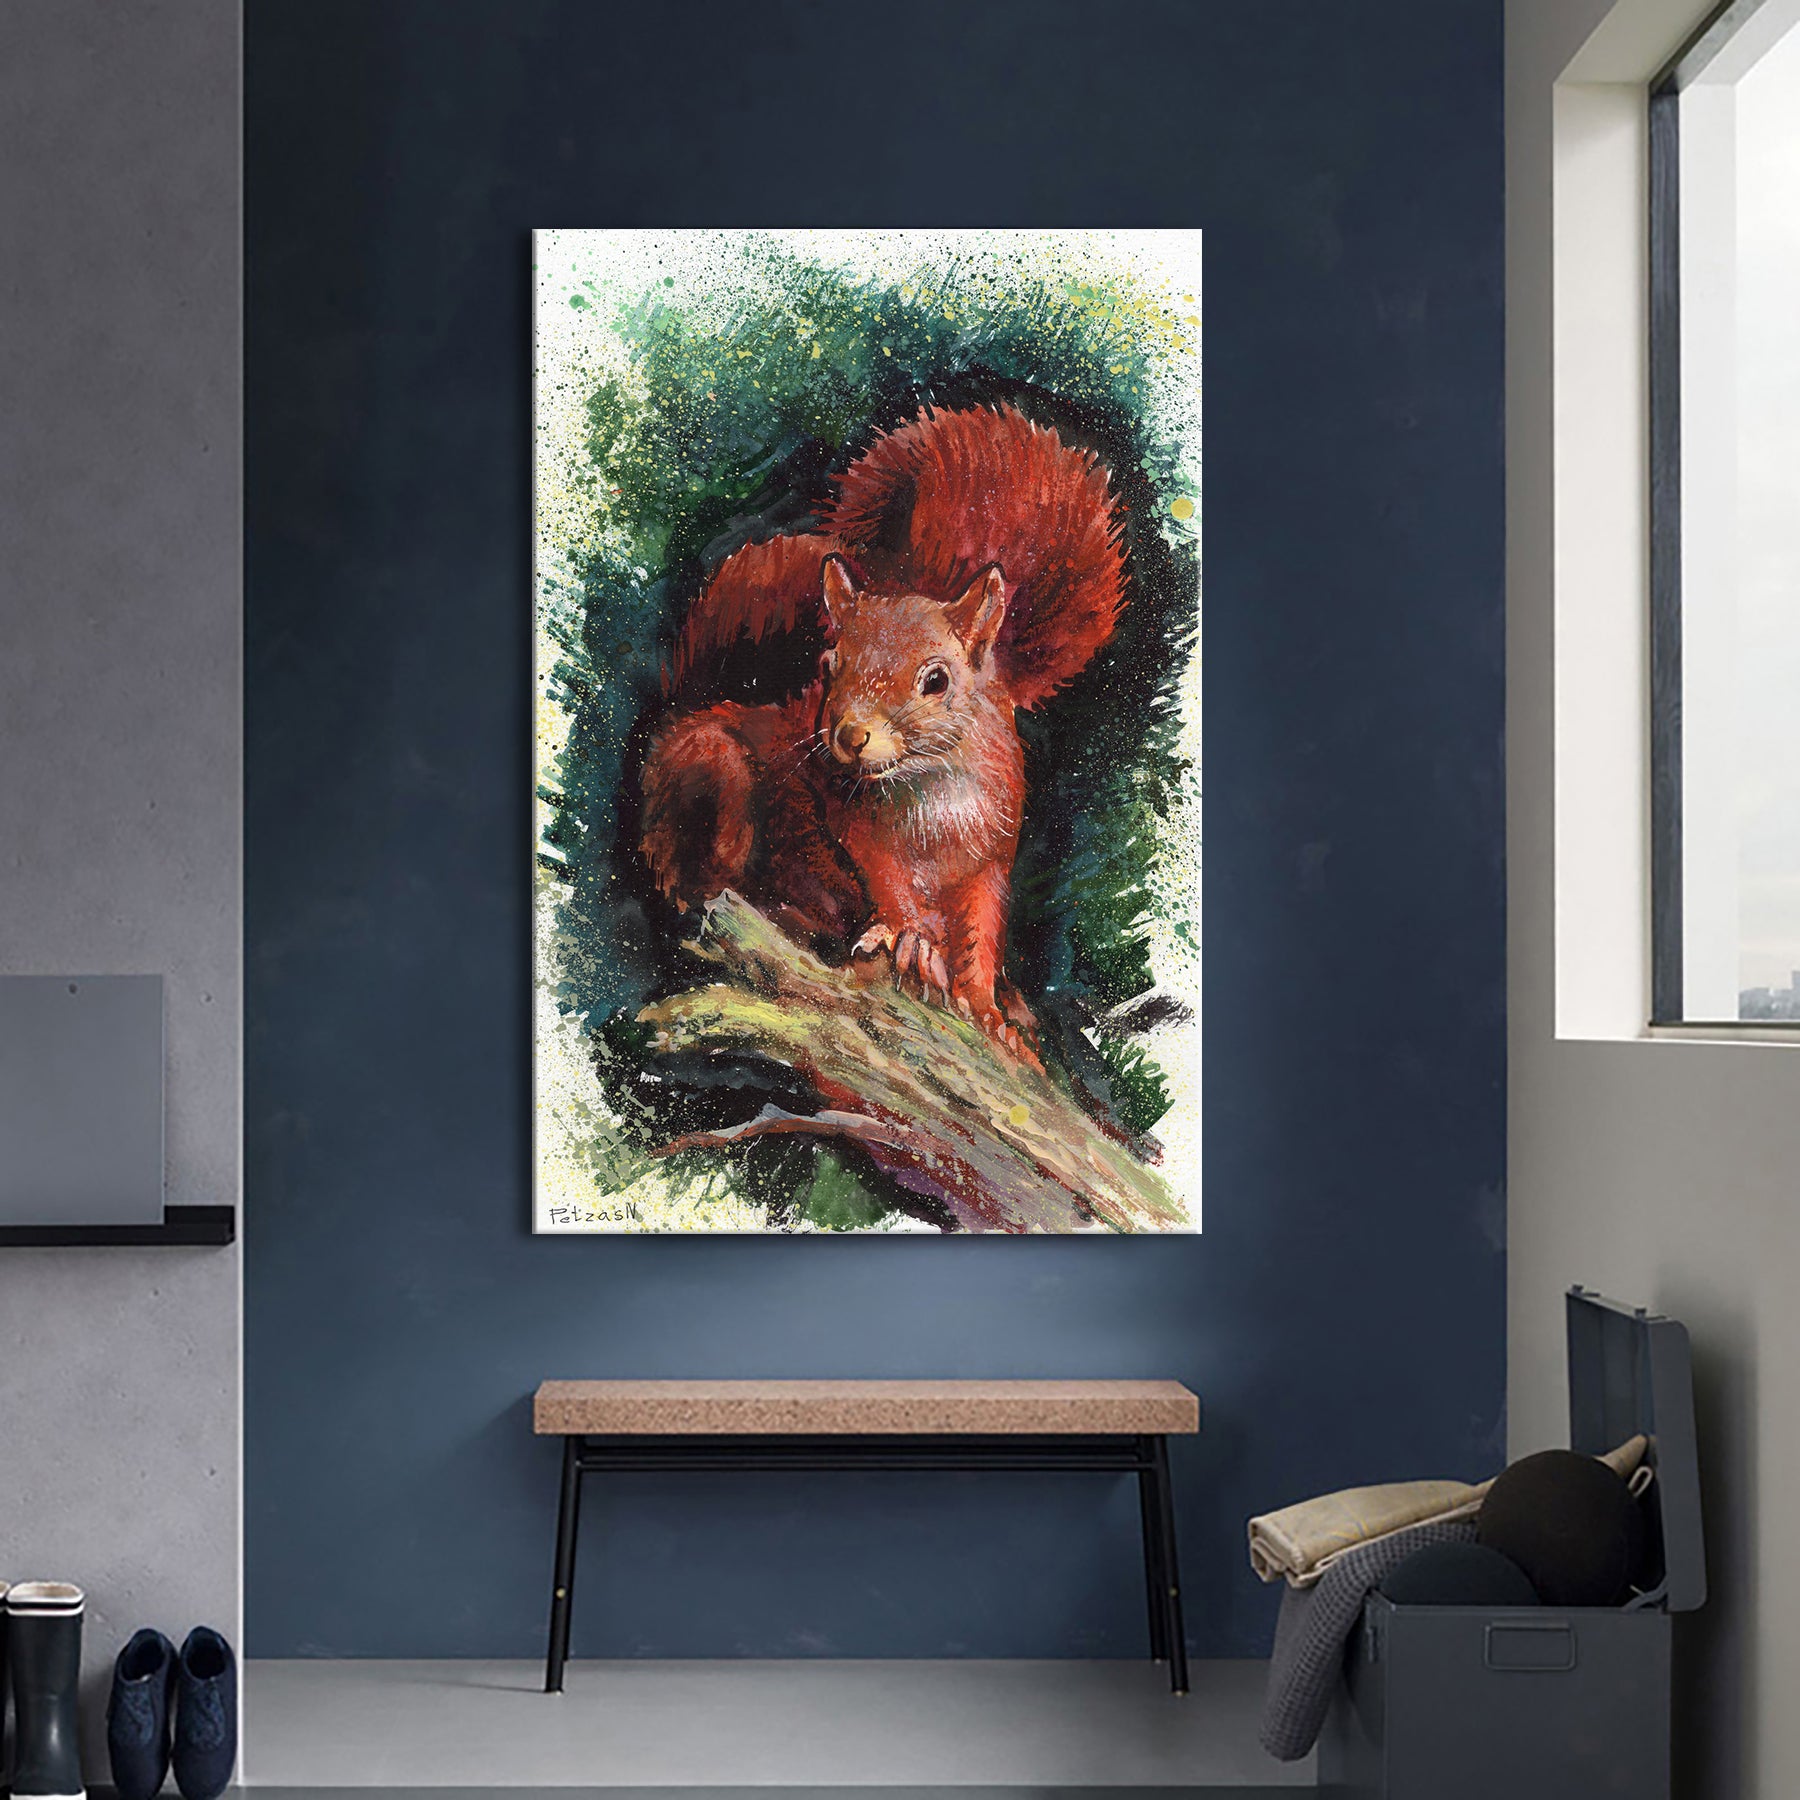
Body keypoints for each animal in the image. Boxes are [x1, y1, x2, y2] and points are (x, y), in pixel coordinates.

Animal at [638, 402, 1126, 1058]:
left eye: (937, 679)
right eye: (829, 664)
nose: (848, 736)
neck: (931, 786)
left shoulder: (991, 854)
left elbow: (983, 931)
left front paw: (985, 1007)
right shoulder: (847, 820)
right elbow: (878, 877)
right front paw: (910, 937)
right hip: (714, 777)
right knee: (704, 885)